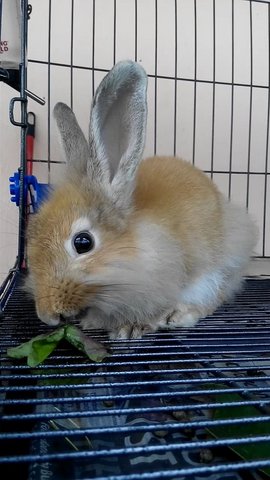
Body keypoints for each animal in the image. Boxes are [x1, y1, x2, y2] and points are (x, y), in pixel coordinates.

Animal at [26, 60, 258, 342]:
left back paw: (180, 315)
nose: (47, 316)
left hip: (225, 261)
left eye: (83, 242)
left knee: (216, 295)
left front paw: (132, 326)